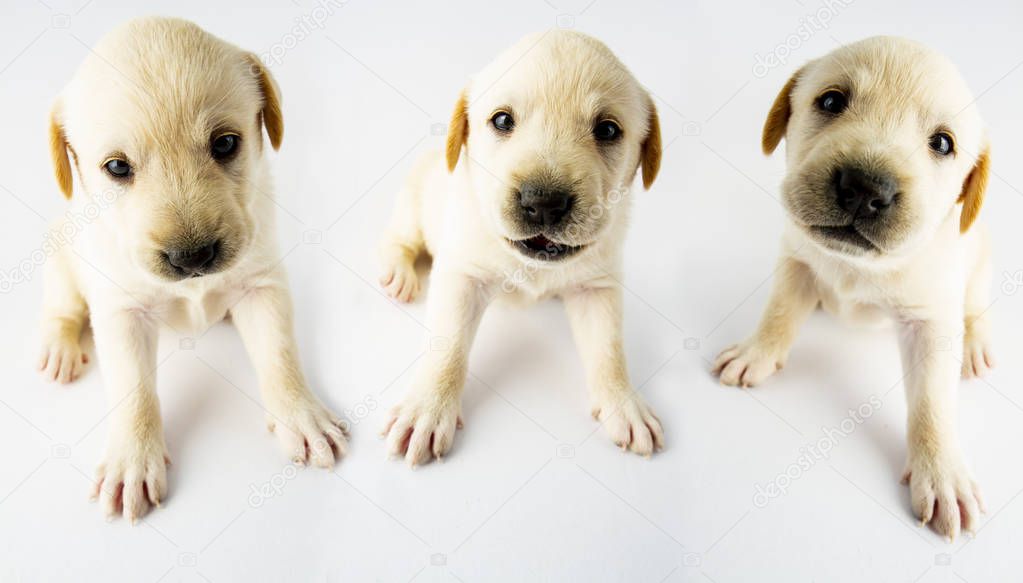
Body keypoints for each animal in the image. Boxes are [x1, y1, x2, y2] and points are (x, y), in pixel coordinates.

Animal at [38, 18, 347, 519]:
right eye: (117, 167)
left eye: (225, 143)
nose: (192, 258)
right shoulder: (122, 312)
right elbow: (134, 391)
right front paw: (132, 459)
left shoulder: (262, 286)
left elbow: (280, 355)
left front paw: (301, 415)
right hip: (61, 257)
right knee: (61, 307)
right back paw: (59, 347)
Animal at [378, 31, 662, 464]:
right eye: (501, 120)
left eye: (608, 130)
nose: (543, 202)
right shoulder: (462, 275)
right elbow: (448, 346)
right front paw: (426, 407)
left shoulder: (597, 287)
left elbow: (609, 351)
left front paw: (623, 402)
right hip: (414, 203)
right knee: (400, 238)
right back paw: (399, 272)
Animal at [712, 35, 990, 535]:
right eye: (831, 101)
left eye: (943, 143)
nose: (865, 188)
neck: (857, 266)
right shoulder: (796, 260)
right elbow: (779, 313)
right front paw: (756, 353)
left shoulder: (932, 321)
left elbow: (933, 403)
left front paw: (942, 473)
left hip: (978, 269)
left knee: (977, 307)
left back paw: (976, 342)